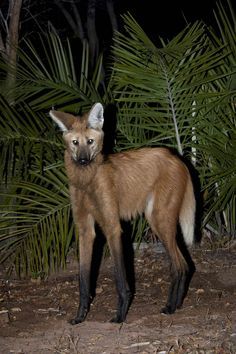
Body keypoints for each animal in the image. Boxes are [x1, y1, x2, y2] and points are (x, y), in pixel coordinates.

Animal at [49, 101, 195, 324]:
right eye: (75, 143)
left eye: (90, 141)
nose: (82, 160)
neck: (86, 182)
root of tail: (179, 159)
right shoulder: (85, 229)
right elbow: (83, 279)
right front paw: (80, 316)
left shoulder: (112, 227)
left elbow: (119, 276)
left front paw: (120, 315)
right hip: (157, 220)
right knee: (185, 264)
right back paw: (177, 304)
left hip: (158, 220)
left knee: (178, 266)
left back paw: (170, 307)